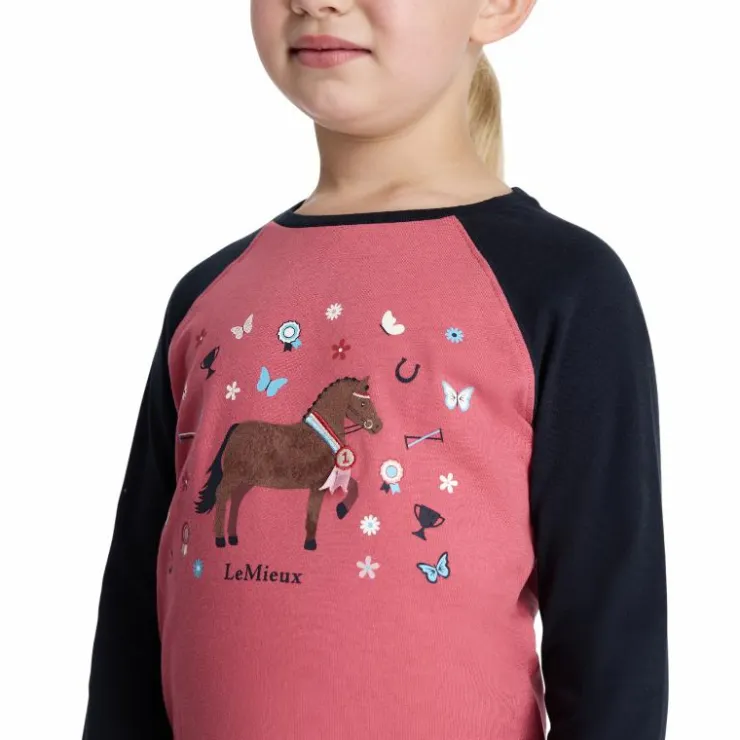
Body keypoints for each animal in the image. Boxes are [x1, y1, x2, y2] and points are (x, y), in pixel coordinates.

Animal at [194, 375, 383, 551]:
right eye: (363, 403)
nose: (378, 426)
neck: (321, 435)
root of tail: (237, 427)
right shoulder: (318, 484)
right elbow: (312, 514)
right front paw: (310, 543)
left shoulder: (329, 477)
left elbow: (354, 487)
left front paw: (341, 510)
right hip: (232, 477)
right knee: (222, 497)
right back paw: (220, 539)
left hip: (246, 481)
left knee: (235, 500)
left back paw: (233, 537)